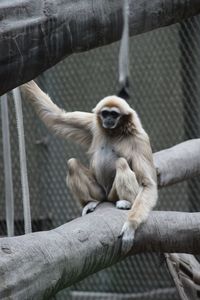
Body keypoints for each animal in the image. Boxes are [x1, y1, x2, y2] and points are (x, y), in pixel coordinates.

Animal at [20, 81, 158, 252]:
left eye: (114, 114)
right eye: (105, 113)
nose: (108, 119)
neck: (114, 132)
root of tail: (106, 196)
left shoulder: (140, 139)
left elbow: (147, 183)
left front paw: (131, 226)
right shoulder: (92, 124)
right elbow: (57, 118)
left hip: (112, 193)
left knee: (121, 163)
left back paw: (126, 202)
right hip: (99, 191)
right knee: (72, 163)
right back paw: (91, 201)